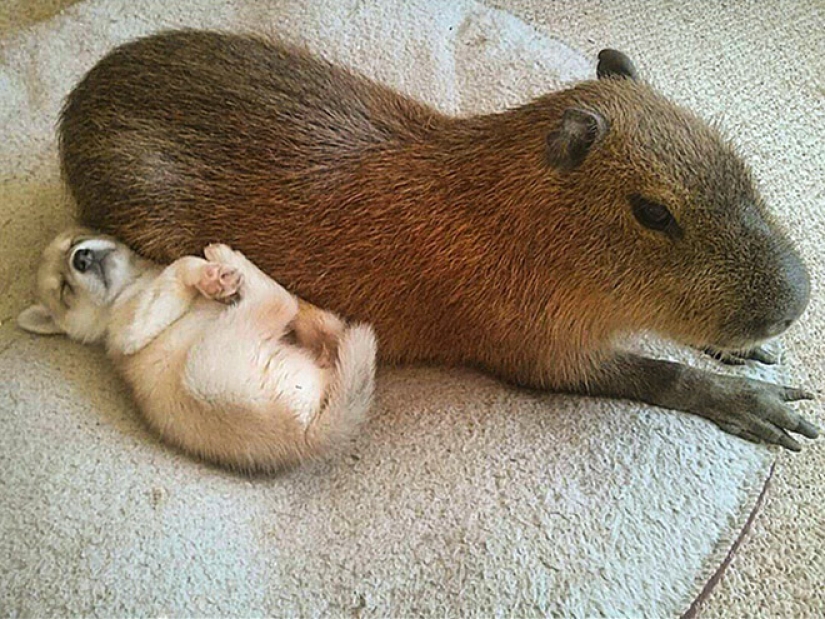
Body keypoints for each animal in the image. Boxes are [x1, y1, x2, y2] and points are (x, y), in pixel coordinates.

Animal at [17, 230, 376, 472]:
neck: (134, 282)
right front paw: (206, 275)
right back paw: (227, 257)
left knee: (326, 330)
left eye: (75, 241)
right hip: (206, 370)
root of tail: (308, 435)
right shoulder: (130, 331)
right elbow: (179, 265)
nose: (82, 257)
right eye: (64, 291)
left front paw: (214, 283)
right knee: (277, 301)